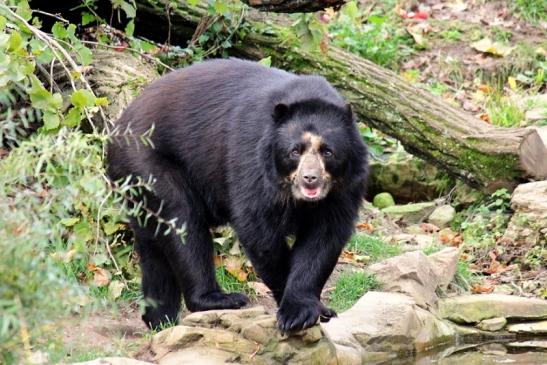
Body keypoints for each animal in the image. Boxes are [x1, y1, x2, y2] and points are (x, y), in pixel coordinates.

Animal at [106, 57, 368, 332]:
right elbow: (259, 232)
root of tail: (116, 128)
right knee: (183, 223)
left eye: (327, 151)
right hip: (150, 163)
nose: (310, 178)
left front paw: (313, 310)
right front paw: (296, 311)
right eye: (294, 151)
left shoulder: (343, 189)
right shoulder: (251, 162)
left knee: (153, 246)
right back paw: (218, 299)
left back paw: (160, 319)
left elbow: (325, 237)